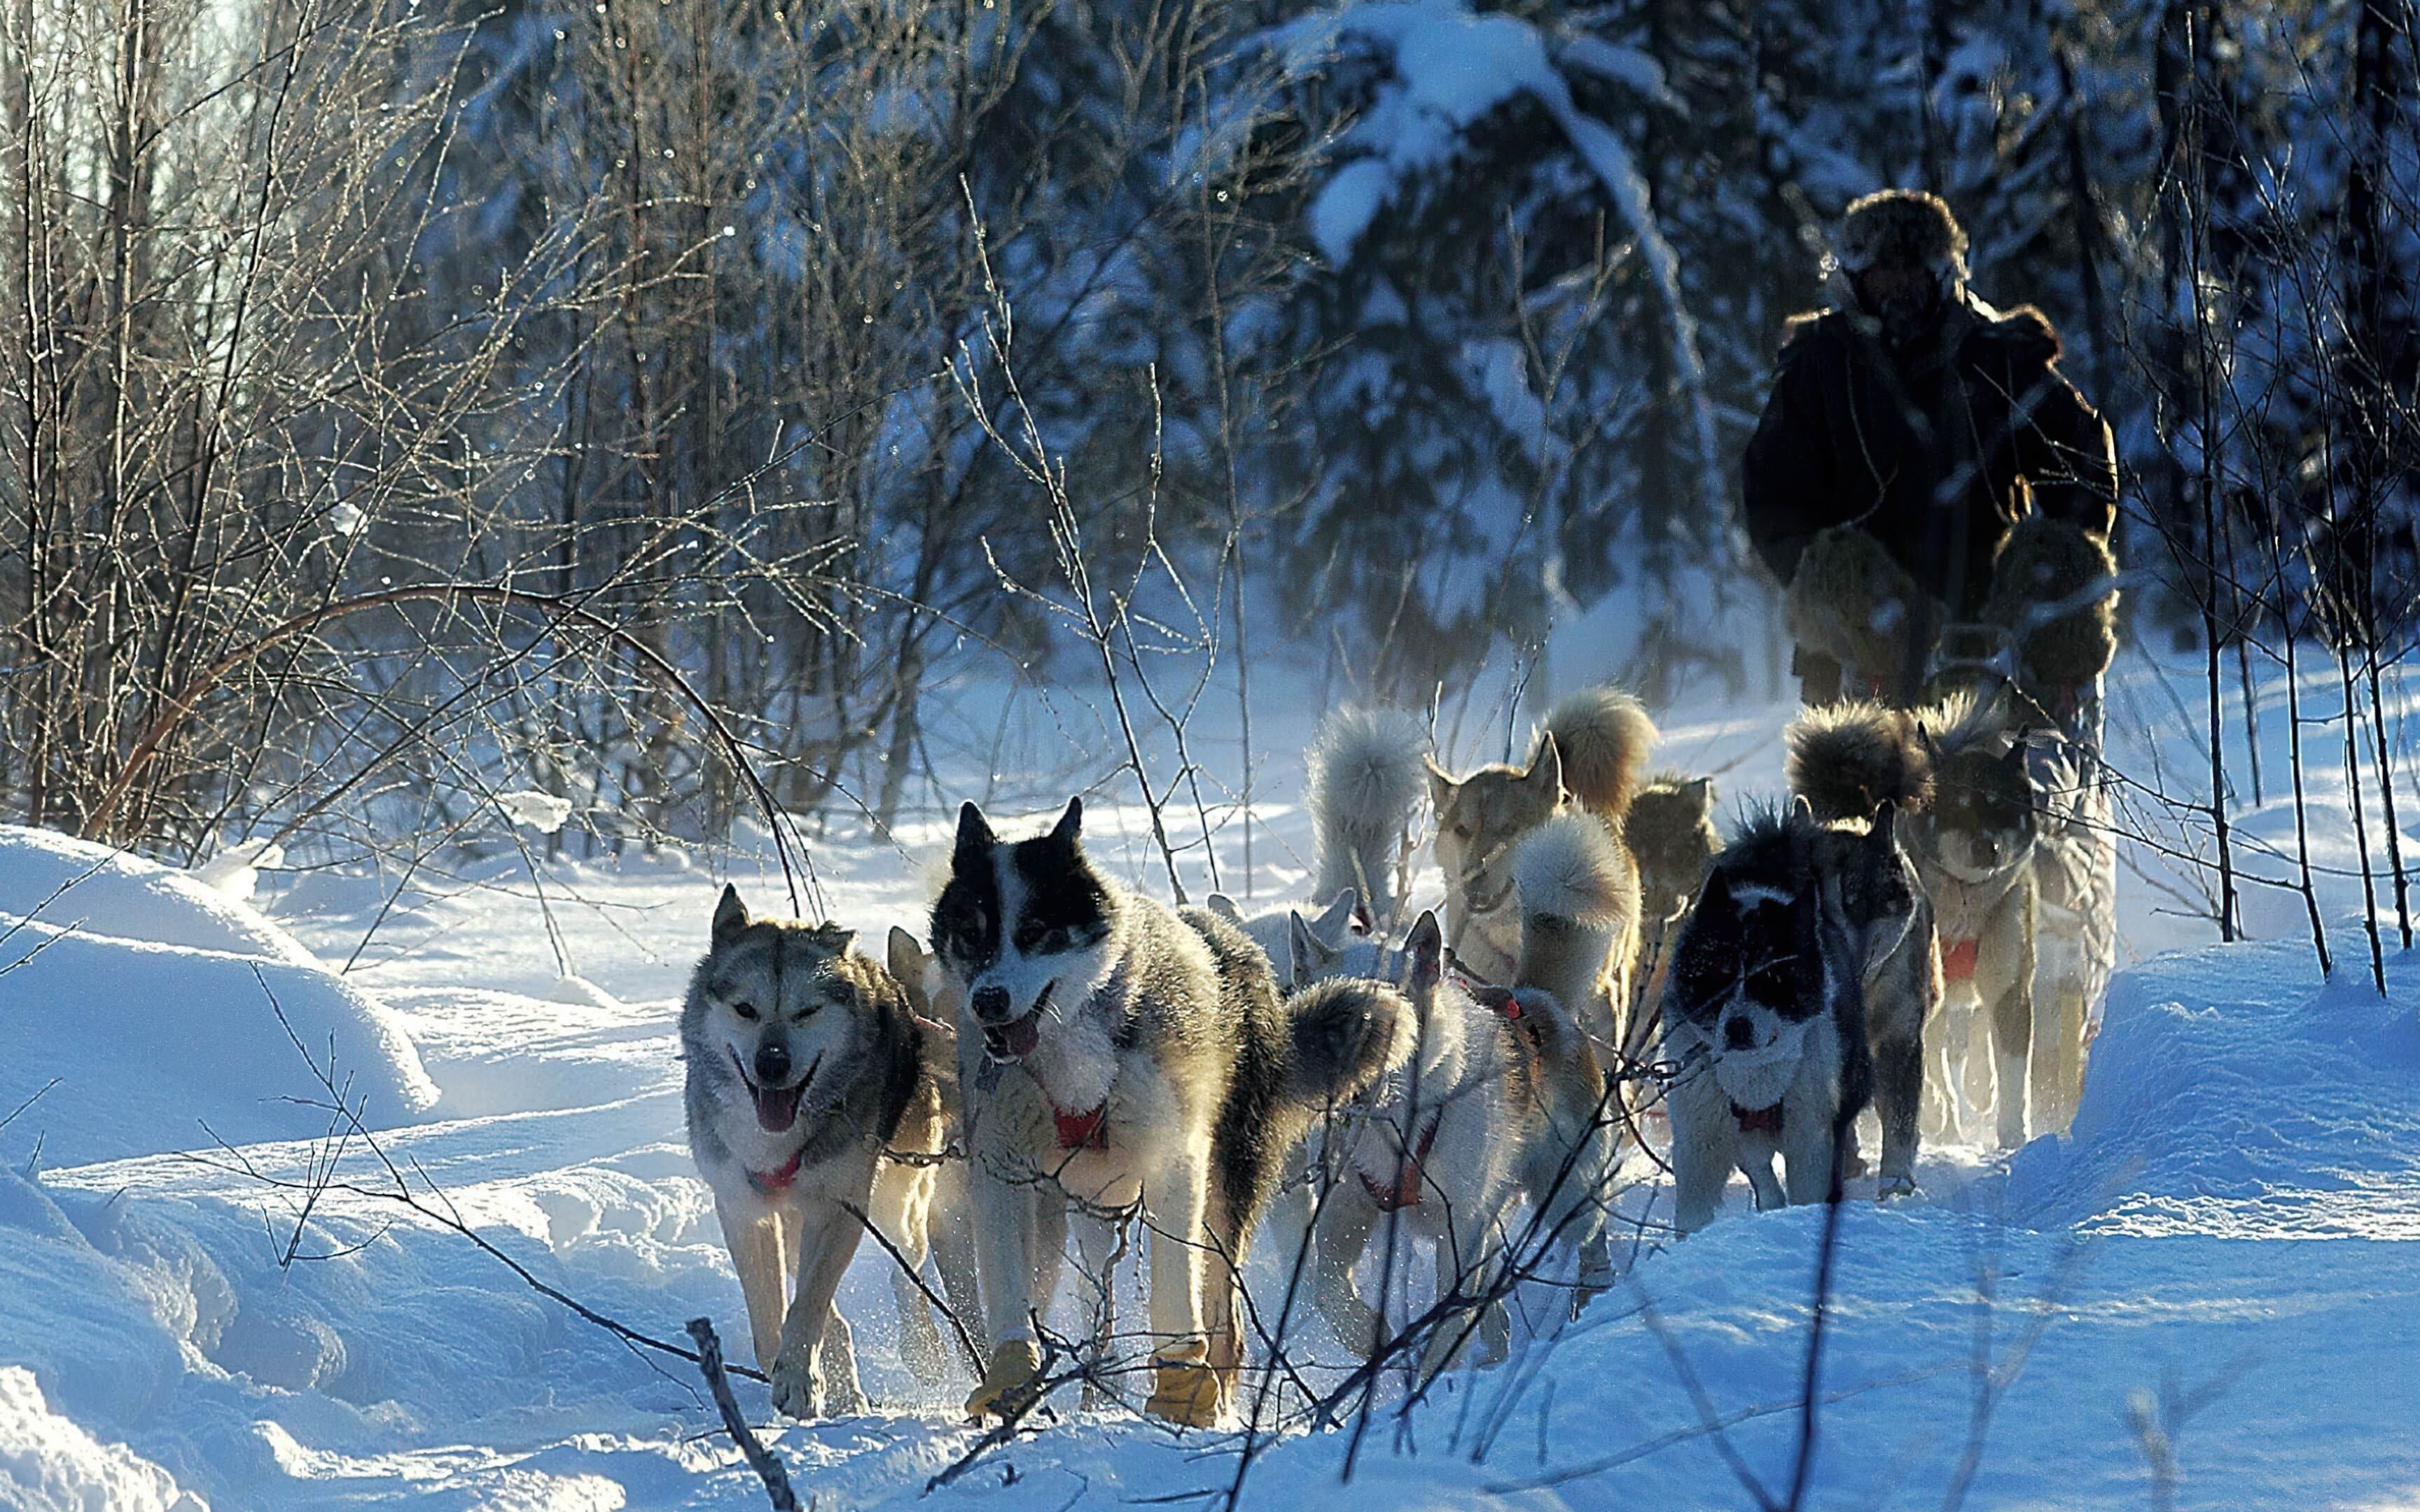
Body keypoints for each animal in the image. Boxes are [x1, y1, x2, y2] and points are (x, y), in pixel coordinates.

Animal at [687, 885, 948, 1413]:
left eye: (806, 1012)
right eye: (745, 1009)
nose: (771, 1064)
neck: (774, 1142)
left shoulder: (838, 1207)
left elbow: (809, 1302)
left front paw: (798, 1379)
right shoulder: (744, 1210)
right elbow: (771, 1308)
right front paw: (789, 1367)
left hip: (897, 1203)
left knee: (906, 1269)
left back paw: (919, 1347)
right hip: (792, 1218)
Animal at [934, 798, 1413, 1422]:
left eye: (1035, 931)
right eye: (970, 936)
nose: (987, 1000)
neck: (1078, 1047)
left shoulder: (1174, 1164)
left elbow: (1172, 1293)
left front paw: (1183, 1390)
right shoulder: (1003, 1171)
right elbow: (1009, 1283)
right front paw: (1011, 1377)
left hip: (1222, 1195)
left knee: (1223, 1316)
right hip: (1087, 1206)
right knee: (1096, 1297)